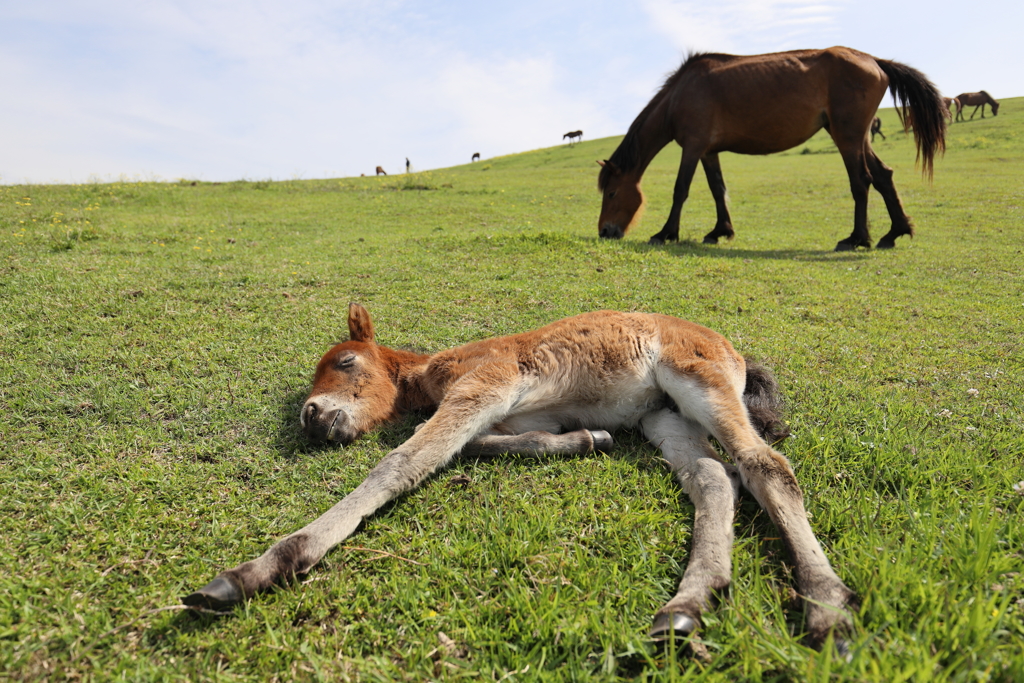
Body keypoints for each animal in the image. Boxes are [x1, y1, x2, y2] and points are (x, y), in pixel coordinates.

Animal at [184, 305, 856, 651]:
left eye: (345, 362)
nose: (311, 415)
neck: (432, 372)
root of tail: (732, 348)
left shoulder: (487, 383)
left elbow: (403, 461)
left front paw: (261, 568)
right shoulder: (522, 412)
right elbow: (475, 446)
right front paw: (587, 440)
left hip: (700, 378)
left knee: (765, 466)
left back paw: (827, 607)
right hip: (663, 414)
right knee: (716, 478)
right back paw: (687, 605)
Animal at [598, 46, 946, 252]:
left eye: (612, 193)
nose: (605, 231)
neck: (679, 95)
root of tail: (874, 60)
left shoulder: (693, 148)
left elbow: (680, 190)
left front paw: (666, 233)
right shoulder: (709, 151)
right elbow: (717, 189)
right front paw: (720, 231)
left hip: (847, 137)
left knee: (862, 182)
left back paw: (856, 238)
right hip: (858, 137)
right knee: (883, 176)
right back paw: (893, 233)